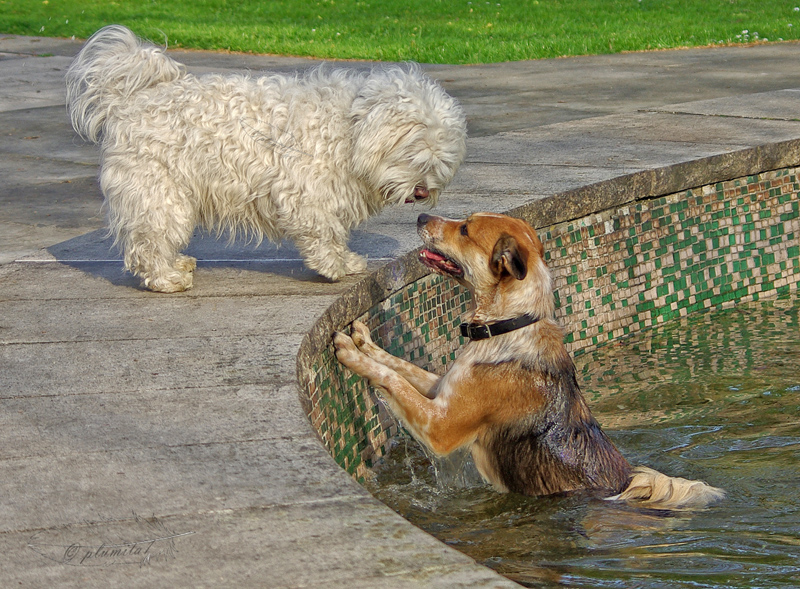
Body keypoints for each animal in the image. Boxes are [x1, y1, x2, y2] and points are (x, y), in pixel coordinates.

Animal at [69, 25, 468, 292]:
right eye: (414, 155)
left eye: (439, 165)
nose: (421, 192)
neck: (350, 127)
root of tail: (130, 100)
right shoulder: (307, 194)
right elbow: (323, 233)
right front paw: (334, 267)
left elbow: (335, 232)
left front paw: (346, 260)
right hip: (160, 195)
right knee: (148, 243)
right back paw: (166, 278)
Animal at [334, 214, 720, 508]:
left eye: (465, 229)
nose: (420, 215)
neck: (508, 323)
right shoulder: (444, 389)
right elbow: (403, 367)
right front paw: (364, 342)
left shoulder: (440, 426)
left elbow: (394, 379)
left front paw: (350, 353)